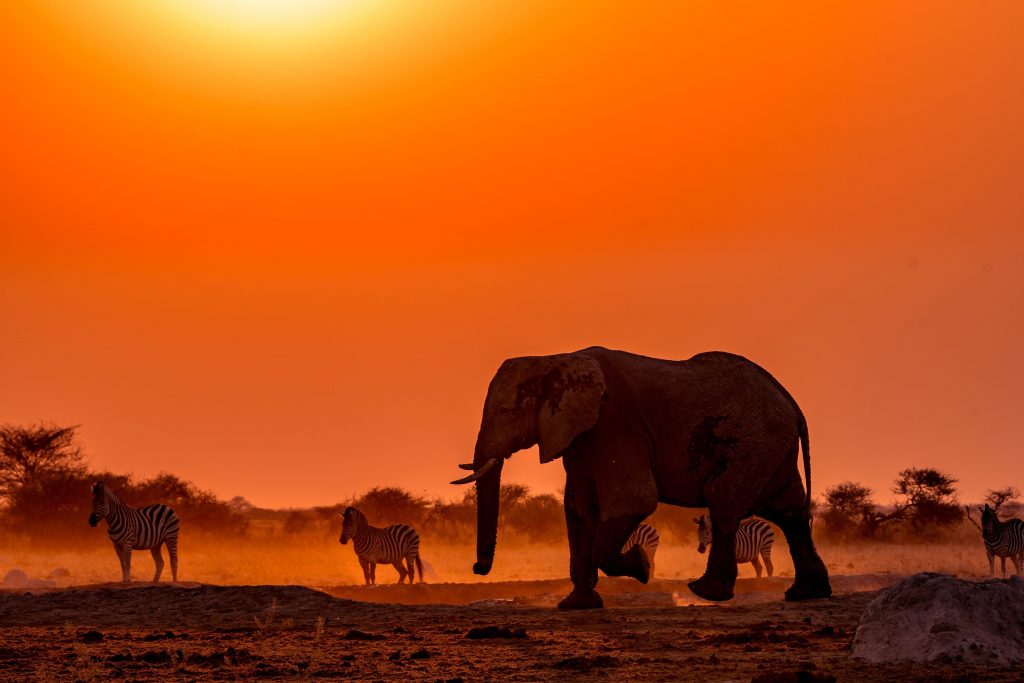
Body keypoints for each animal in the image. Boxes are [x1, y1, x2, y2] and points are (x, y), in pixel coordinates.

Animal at [452, 348, 827, 610]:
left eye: (506, 412)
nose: (477, 567)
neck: (554, 359)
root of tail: (791, 401)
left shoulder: (615, 422)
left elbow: (633, 500)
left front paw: (643, 567)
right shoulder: (579, 435)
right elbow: (578, 509)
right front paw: (576, 606)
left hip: (753, 442)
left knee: (723, 502)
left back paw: (705, 592)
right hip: (770, 447)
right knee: (789, 512)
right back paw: (806, 594)